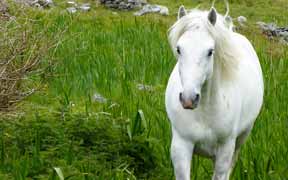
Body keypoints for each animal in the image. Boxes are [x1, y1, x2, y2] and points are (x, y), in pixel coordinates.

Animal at [165, 5, 264, 180]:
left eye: (210, 51)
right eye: (179, 49)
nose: (189, 99)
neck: (204, 113)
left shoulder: (225, 150)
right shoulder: (181, 146)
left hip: (241, 139)